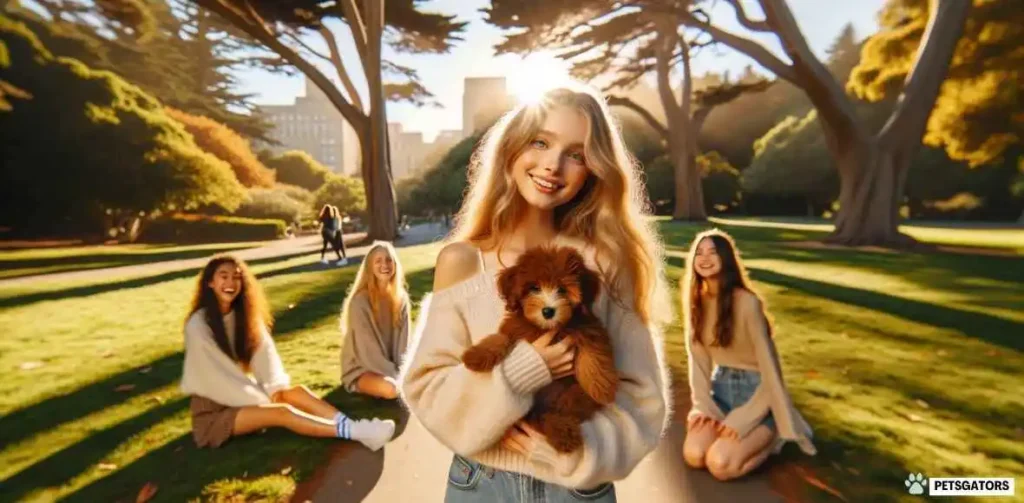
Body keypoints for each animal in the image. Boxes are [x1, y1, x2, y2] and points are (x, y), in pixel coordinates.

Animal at [462, 245, 614, 454]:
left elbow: (594, 353)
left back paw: (563, 433)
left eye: (562, 289)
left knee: (563, 411)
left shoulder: (588, 327)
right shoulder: (515, 329)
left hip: (573, 394)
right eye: (534, 288)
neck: (544, 328)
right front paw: (476, 356)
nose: (548, 311)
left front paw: (601, 387)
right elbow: (499, 339)